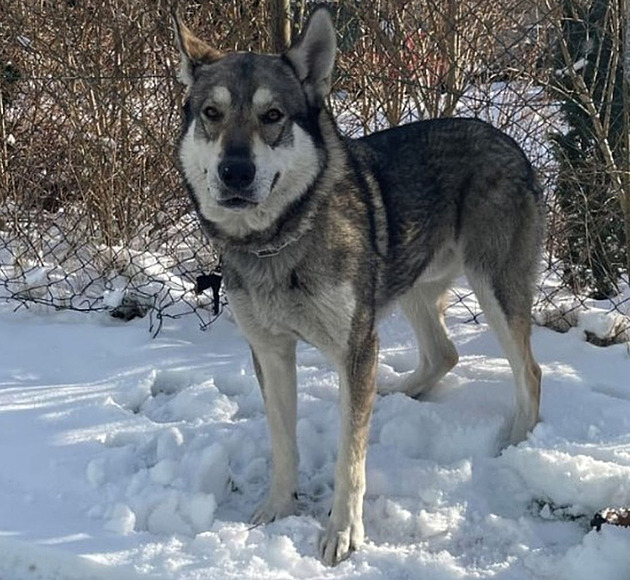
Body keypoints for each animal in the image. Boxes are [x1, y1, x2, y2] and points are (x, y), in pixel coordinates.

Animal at [172, 5, 544, 568]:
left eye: (273, 116)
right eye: (212, 114)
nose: (235, 171)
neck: (277, 243)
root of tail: (511, 144)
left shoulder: (354, 346)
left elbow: (351, 459)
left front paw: (343, 534)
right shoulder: (270, 351)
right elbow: (284, 442)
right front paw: (277, 507)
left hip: (493, 292)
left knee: (530, 373)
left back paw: (515, 445)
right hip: (409, 288)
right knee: (444, 354)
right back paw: (396, 392)